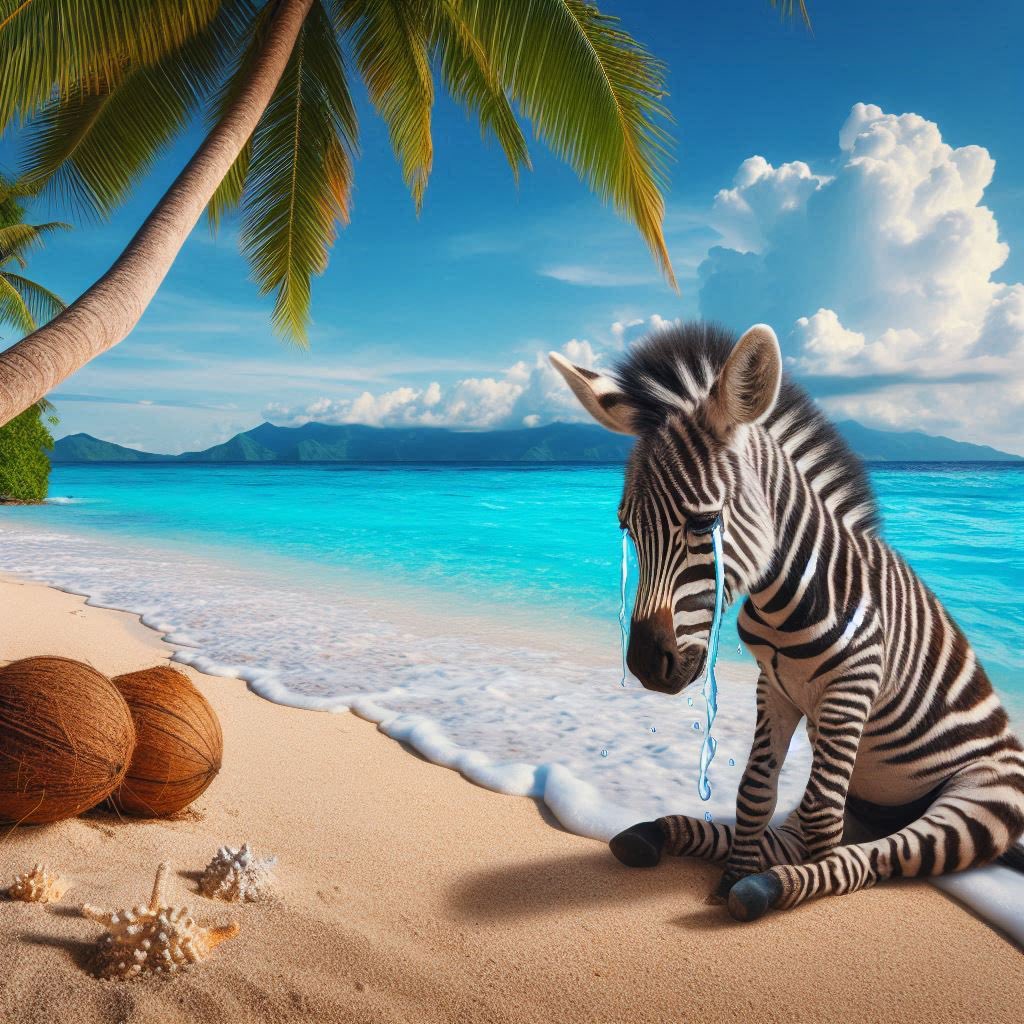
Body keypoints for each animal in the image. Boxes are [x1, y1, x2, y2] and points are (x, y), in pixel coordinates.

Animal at [549, 321, 1024, 922]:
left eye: (704, 524)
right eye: (626, 528)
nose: (645, 666)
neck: (787, 598)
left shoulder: (852, 687)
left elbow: (822, 814)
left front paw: (800, 889)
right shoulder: (774, 685)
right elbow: (754, 791)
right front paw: (732, 876)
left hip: (977, 799)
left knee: (876, 852)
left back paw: (776, 884)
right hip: (867, 793)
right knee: (810, 834)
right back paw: (662, 834)